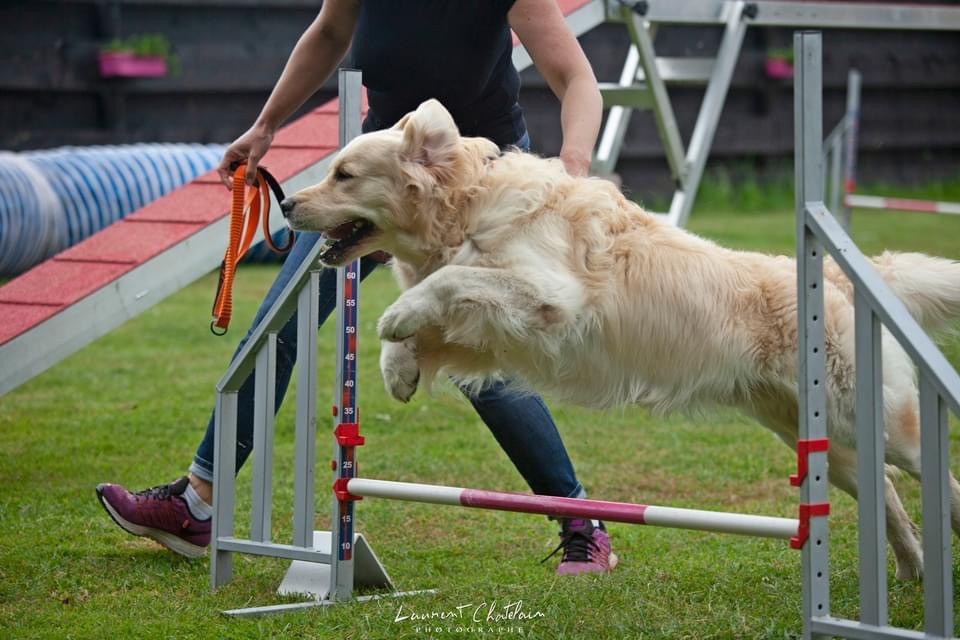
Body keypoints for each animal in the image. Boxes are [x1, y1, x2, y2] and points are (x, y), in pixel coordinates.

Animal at [282, 99, 960, 580]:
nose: (286, 203)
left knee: (930, 474)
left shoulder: (549, 296)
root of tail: (839, 277)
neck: (465, 206)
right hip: (817, 434)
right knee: (884, 488)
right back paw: (911, 567)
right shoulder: (492, 335)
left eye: (344, 174)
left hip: (879, 420)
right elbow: (436, 307)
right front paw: (397, 365)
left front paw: (395, 319)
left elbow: (451, 278)